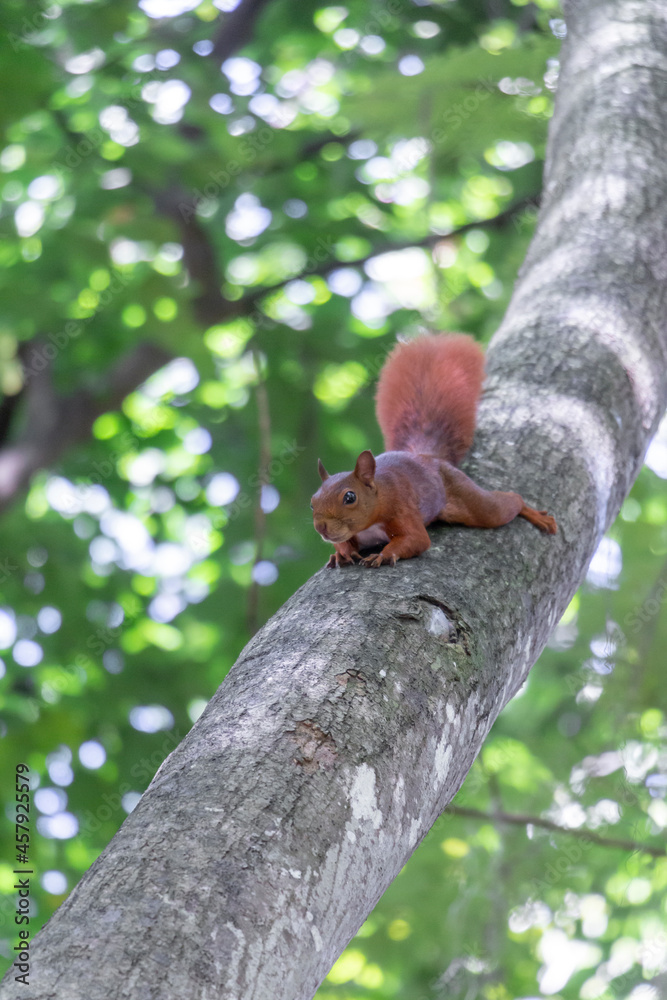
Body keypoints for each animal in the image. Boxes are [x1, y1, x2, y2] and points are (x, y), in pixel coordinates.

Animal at [314, 334, 560, 572]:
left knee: (505, 504)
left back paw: (535, 515)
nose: (321, 527)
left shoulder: (401, 509)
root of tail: (427, 458)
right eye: (312, 502)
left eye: (350, 497)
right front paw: (341, 554)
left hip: (469, 497)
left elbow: (417, 540)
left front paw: (382, 556)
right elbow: (343, 543)